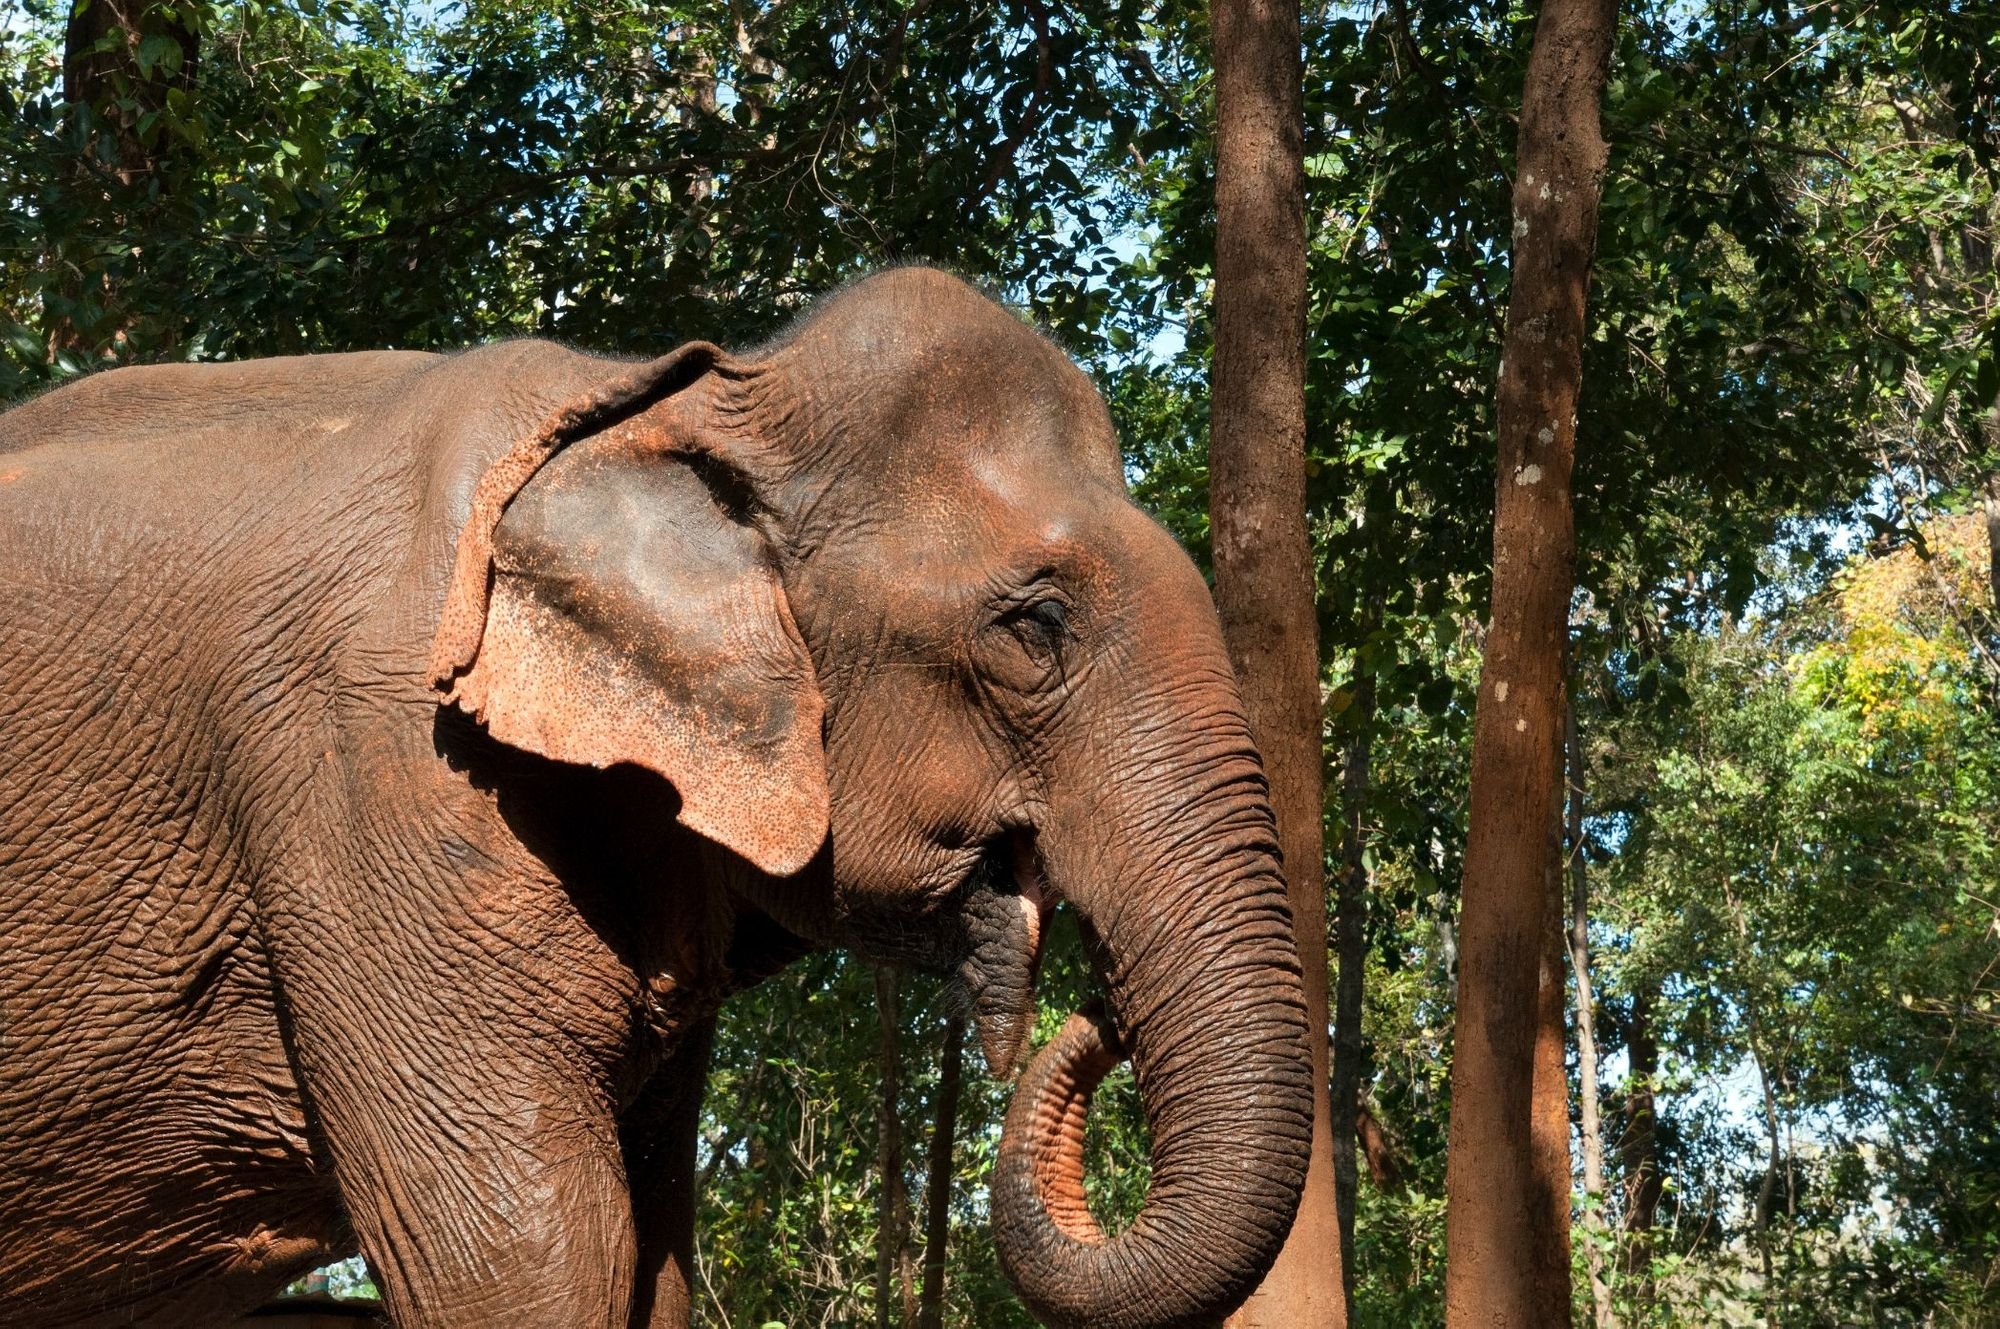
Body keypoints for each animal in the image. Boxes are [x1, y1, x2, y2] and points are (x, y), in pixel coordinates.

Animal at [0, 268, 1312, 1329]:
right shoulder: (371, 776)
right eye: (1034, 627)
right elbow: (521, 1263)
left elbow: (651, 1250)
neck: (674, 397)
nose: (1087, 1007)